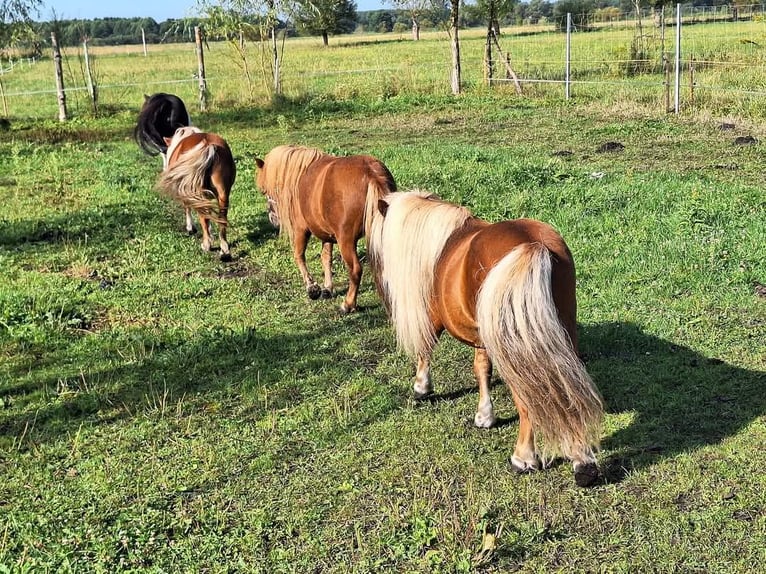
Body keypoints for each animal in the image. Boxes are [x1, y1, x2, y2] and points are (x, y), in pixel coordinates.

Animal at [158, 127, 237, 262]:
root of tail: (208, 145)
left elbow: (188, 209)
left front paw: (191, 228)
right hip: (223, 194)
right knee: (221, 218)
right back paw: (224, 251)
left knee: (203, 216)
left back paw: (206, 245)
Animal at [256, 144, 400, 316]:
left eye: (264, 190)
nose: (273, 219)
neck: (299, 174)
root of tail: (371, 174)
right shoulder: (327, 235)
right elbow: (326, 258)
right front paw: (327, 288)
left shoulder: (301, 229)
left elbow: (299, 255)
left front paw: (312, 287)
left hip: (346, 240)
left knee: (355, 270)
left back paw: (348, 304)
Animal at [370, 191, 608, 488]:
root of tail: (534, 247)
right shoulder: (483, 336)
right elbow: (482, 368)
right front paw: (485, 415)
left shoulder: (431, 316)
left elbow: (427, 348)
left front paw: (421, 387)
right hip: (561, 336)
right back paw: (583, 462)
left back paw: (523, 458)